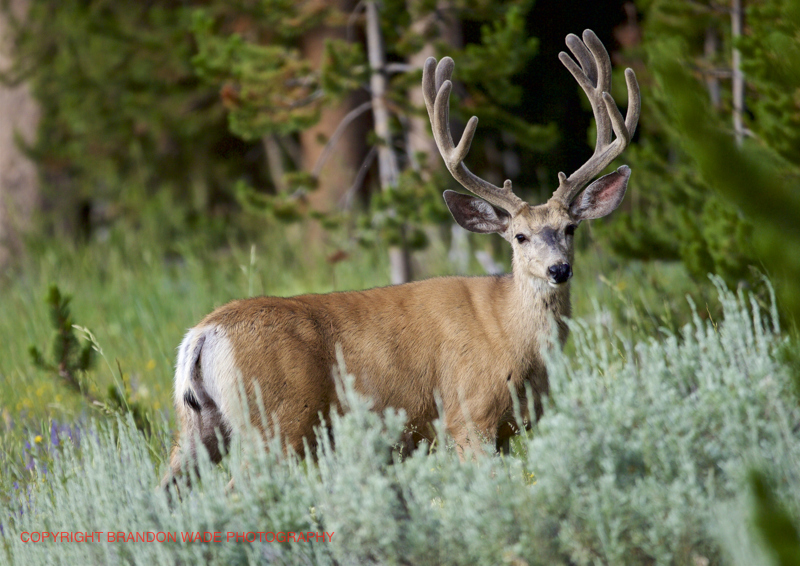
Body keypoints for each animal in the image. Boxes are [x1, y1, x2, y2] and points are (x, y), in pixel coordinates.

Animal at [161, 28, 636, 488]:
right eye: (519, 236)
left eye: (570, 228)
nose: (559, 269)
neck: (511, 336)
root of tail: (203, 334)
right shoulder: (470, 415)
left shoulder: (502, 431)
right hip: (276, 422)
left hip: (198, 426)